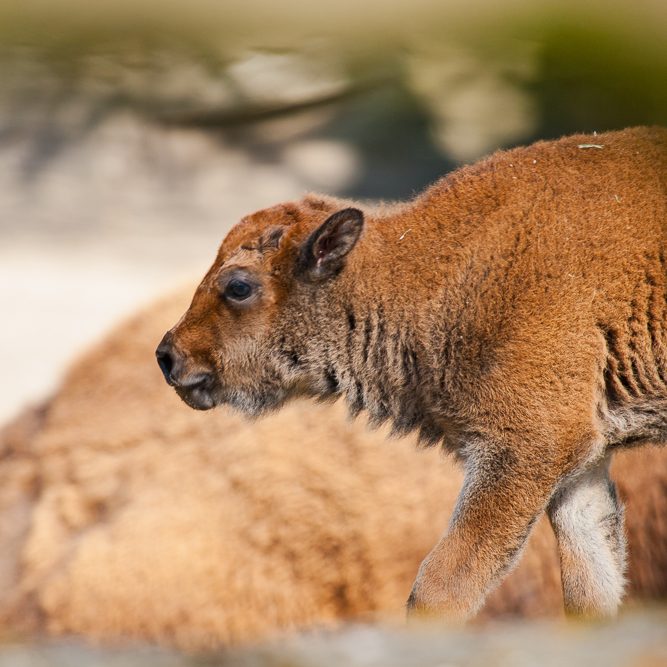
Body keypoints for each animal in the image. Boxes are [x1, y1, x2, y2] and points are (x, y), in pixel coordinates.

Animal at [160, 128, 667, 624]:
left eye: (238, 286)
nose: (167, 355)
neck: (425, 274)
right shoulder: (581, 464)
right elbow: (591, 584)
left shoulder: (526, 448)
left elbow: (443, 586)